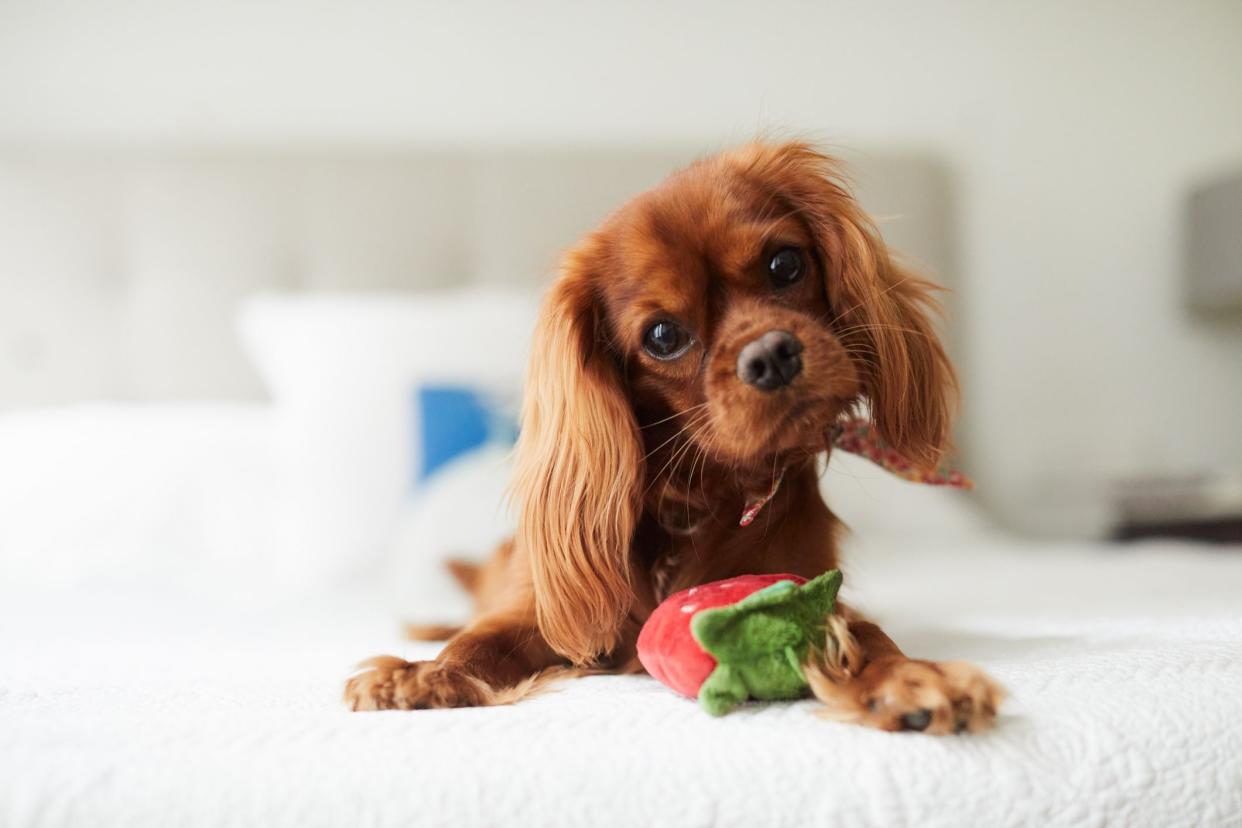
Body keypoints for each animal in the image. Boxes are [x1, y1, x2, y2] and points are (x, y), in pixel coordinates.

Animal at [345, 144, 1003, 739]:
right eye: (663, 336)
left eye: (786, 265)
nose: (770, 355)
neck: (696, 502)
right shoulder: (543, 615)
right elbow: (484, 639)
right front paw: (426, 675)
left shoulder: (809, 589)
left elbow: (862, 633)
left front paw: (909, 678)